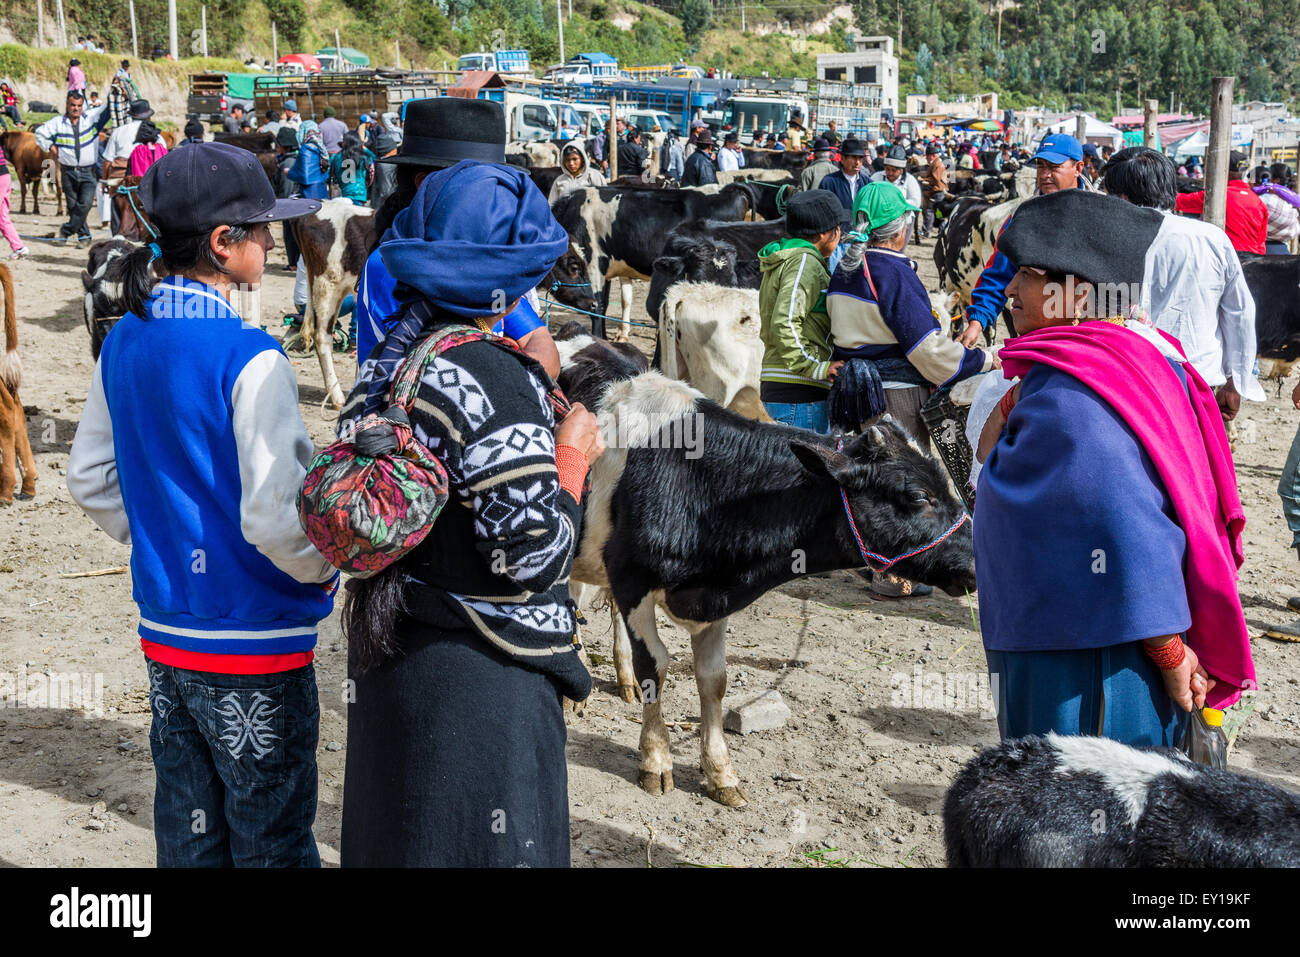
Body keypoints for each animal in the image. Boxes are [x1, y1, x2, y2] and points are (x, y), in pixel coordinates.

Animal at [548, 180, 759, 343]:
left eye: (574, 266)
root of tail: (729, 187)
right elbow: (620, 300)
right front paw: (617, 336)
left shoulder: (593, 263)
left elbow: (598, 305)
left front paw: (600, 338)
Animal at [559, 328, 977, 806]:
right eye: (919, 496)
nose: (975, 559)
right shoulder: (633, 580)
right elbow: (657, 668)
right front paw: (656, 761)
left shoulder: (713, 596)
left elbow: (713, 679)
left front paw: (721, 773)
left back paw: (621, 676)